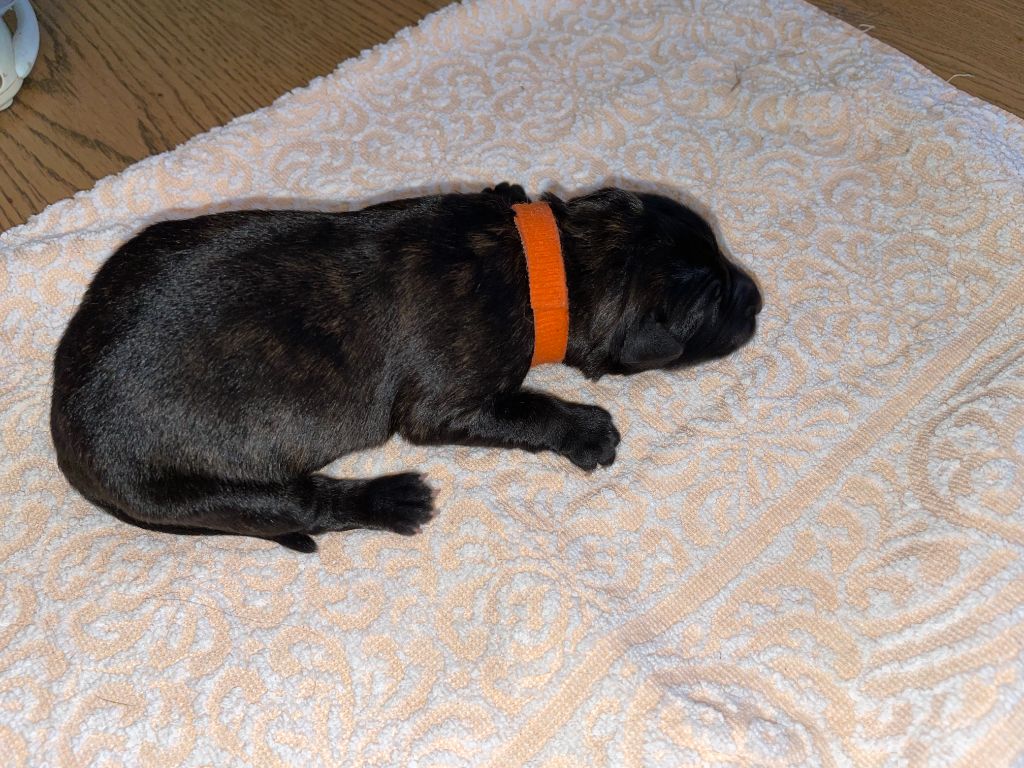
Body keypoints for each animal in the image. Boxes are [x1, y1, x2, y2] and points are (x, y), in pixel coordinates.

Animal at [50, 184, 762, 551]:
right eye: (714, 303)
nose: (757, 299)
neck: (552, 259)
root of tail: (60, 426)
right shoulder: (446, 403)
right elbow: (527, 409)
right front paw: (586, 430)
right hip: (209, 491)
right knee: (303, 506)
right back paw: (391, 500)